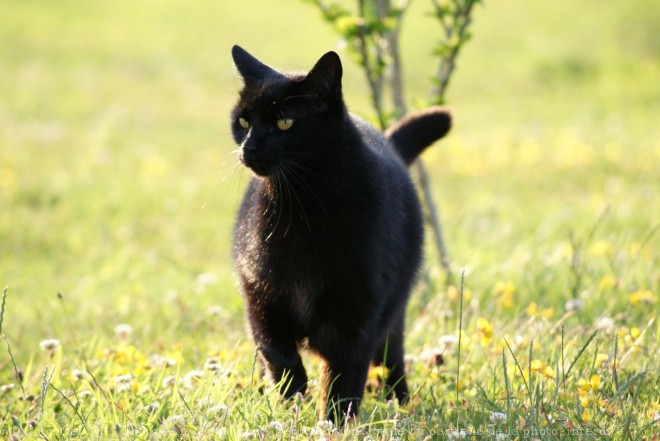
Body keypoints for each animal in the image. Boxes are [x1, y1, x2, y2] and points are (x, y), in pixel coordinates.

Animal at [229, 45, 452, 422]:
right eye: (243, 122)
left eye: (285, 122)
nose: (249, 148)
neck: (303, 208)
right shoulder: (260, 292)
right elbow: (276, 353)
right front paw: (293, 397)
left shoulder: (356, 310)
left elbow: (344, 376)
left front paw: (334, 422)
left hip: (393, 311)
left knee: (390, 357)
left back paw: (400, 403)